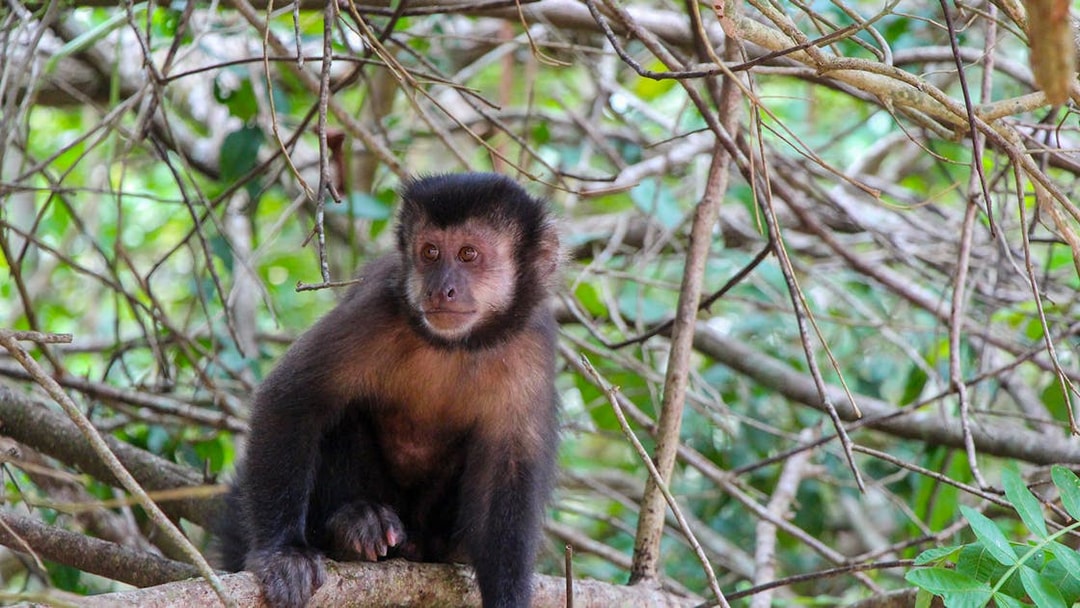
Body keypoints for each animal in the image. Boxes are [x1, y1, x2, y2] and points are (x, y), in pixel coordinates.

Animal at [217, 173, 561, 608]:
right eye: (430, 252)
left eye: (468, 254)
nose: (440, 289)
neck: (458, 346)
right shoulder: (376, 309)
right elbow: (292, 400)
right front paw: (283, 553)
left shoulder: (531, 345)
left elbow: (509, 470)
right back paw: (351, 526)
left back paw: (435, 547)